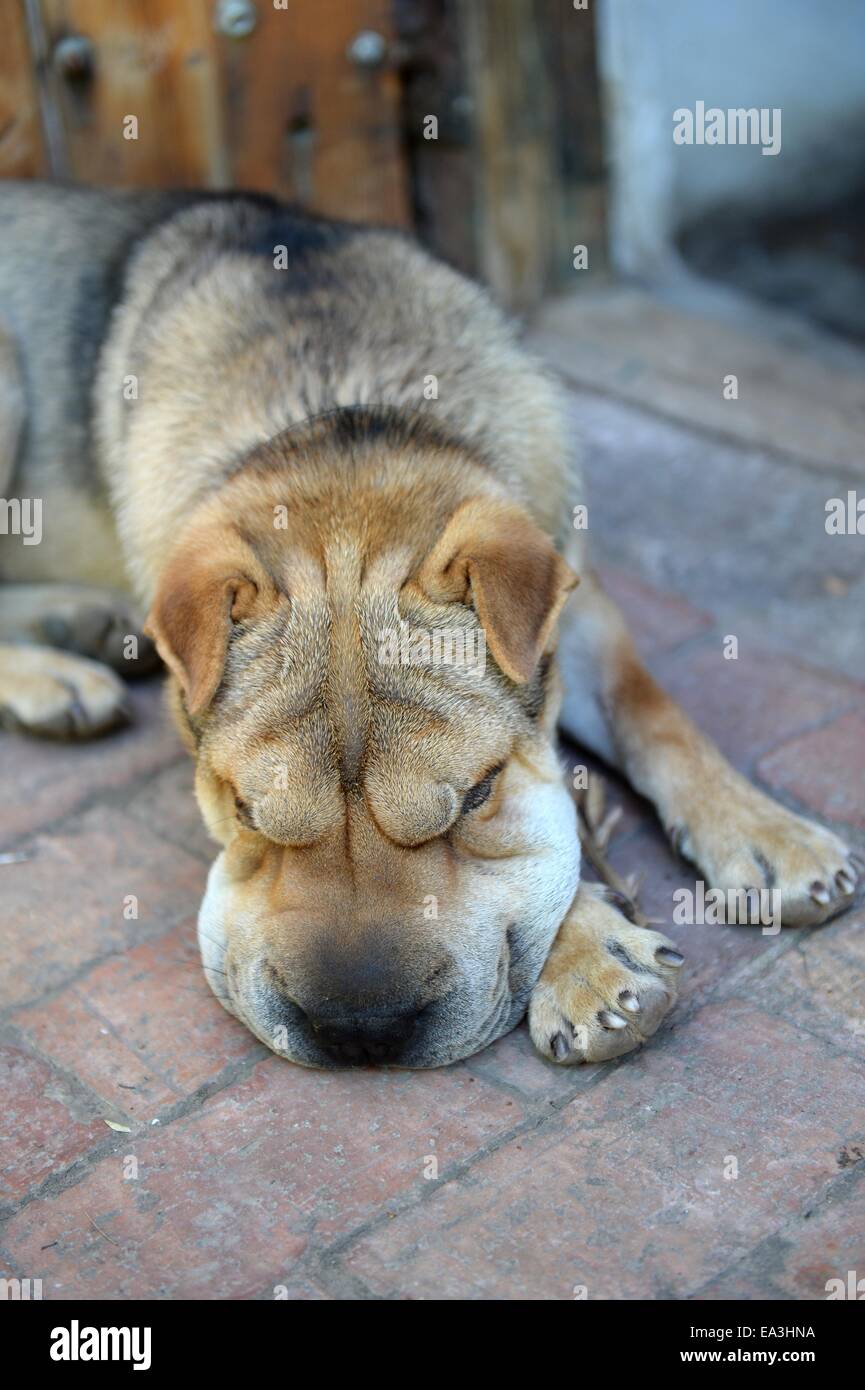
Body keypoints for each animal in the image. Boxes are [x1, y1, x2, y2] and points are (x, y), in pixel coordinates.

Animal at [0, 184, 856, 1067]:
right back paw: (54, 670)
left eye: (475, 796)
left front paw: (763, 833)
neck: (339, 409)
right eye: (245, 814)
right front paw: (591, 950)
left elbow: (649, 714)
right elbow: (554, 830)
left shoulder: (575, 595)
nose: (358, 1028)